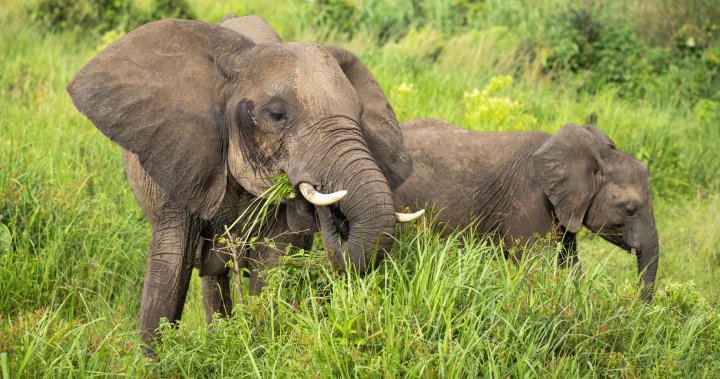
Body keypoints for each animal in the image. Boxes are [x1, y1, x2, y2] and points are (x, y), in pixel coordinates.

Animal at [66, 14, 422, 354]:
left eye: (359, 114)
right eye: (276, 114)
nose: (325, 206)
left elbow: (272, 263)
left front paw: (260, 345)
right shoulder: (179, 157)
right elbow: (170, 267)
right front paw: (155, 363)